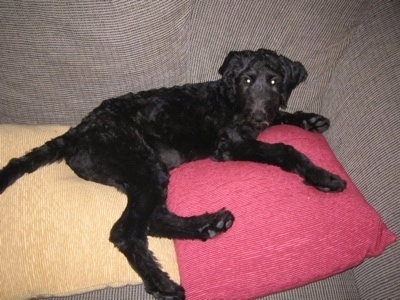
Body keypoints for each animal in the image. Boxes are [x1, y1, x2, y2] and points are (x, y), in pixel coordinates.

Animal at [0, 48, 344, 298]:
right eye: (246, 81)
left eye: (274, 81)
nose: (258, 115)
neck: (229, 96)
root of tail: (78, 131)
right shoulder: (231, 145)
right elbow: (286, 150)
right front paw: (323, 177)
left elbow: (281, 117)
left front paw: (308, 119)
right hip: (143, 168)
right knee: (126, 231)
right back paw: (163, 284)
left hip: (146, 173)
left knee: (154, 220)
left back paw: (209, 226)